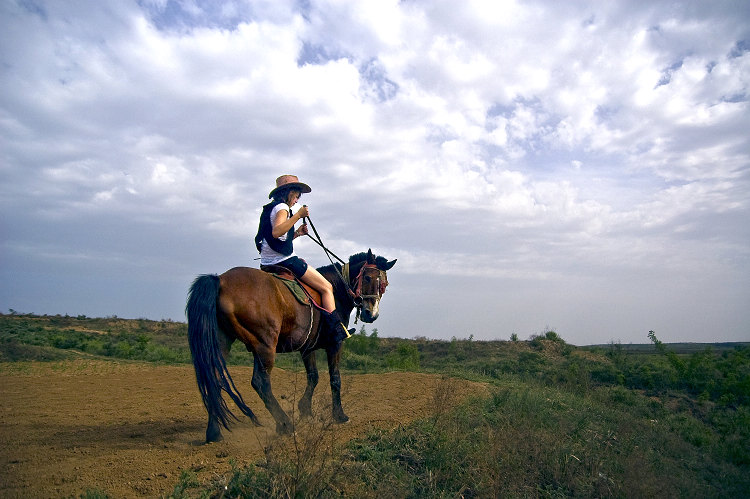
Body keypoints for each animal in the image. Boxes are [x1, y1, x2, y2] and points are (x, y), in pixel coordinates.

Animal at [186, 250, 396, 442]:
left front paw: (306, 411)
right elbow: (335, 379)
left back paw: (214, 432)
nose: (371, 314)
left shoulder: (308, 348)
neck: (336, 290)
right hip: (264, 345)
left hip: (223, 342)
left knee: (213, 379)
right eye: (368, 277)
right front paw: (339, 415)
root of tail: (220, 280)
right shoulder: (335, 344)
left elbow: (313, 377)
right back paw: (285, 424)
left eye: (384, 285)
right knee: (260, 383)